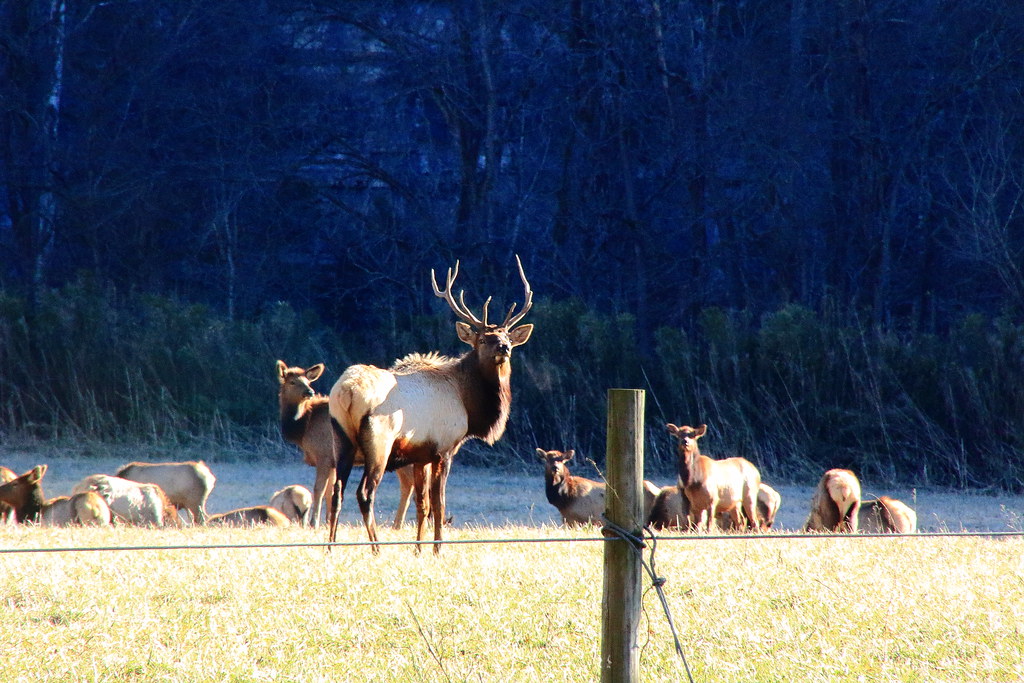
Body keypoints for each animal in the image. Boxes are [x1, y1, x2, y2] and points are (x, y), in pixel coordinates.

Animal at [277, 360, 415, 529]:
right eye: (292, 382)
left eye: (307, 381)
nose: (310, 391)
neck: (303, 427)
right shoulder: (332, 461)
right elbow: (330, 492)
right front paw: (328, 521)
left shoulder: (323, 456)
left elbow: (319, 489)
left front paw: (314, 523)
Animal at [327, 256, 534, 554]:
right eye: (483, 338)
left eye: (507, 337)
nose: (504, 348)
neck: (467, 401)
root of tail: (347, 392)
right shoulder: (444, 449)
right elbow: (439, 504)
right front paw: (438, 549)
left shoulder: (420, 455)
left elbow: (422, 504)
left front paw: (418, 549)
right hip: (378, 442)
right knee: (365, 493)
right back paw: (376, 548)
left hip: (341, 438)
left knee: (337, 492)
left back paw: (330, 548)